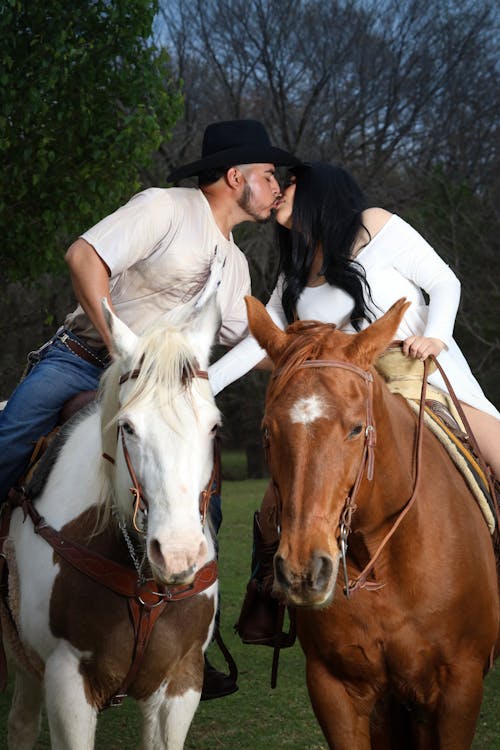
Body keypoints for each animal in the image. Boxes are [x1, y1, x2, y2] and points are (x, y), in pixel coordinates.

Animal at [244, 296, 498, 750]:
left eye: (356, 428)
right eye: (268, 430)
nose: (304, 571)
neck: (385, 564)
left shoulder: (460, 689)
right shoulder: (337, 691)